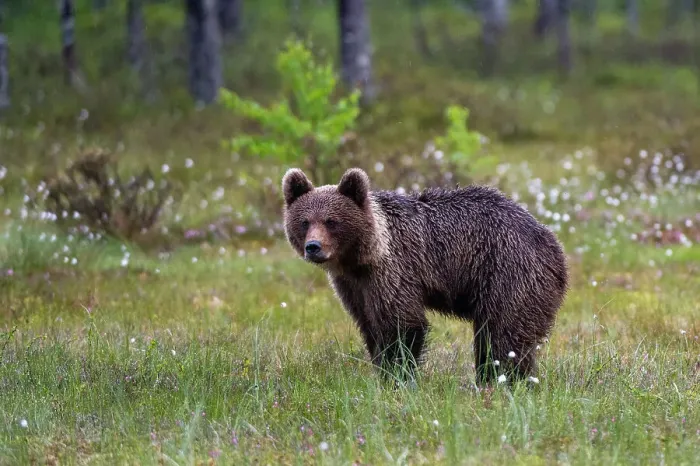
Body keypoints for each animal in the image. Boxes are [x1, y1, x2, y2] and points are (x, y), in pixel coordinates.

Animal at [281, 167, 568, 385]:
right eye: (304, 221)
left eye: (331, 221)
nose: (313, 247)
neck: (362, 256)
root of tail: (553, 244)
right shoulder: (353, 286)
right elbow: (369, 325)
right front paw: (381, 371)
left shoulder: (394, 270)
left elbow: (402, 325)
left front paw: (397, 377)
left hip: (508, 273)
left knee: (503, 334)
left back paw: (501, 380)